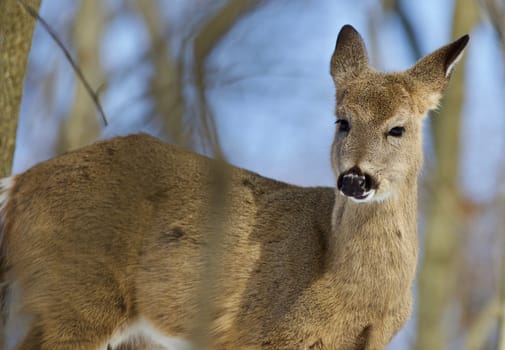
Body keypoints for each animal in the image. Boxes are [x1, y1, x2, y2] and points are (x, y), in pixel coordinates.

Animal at [1, 25, 468, 350]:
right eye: (342, 121)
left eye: (398, 128)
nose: (355, 178)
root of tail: (19, 186)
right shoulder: (262, 332)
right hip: (77, 296)